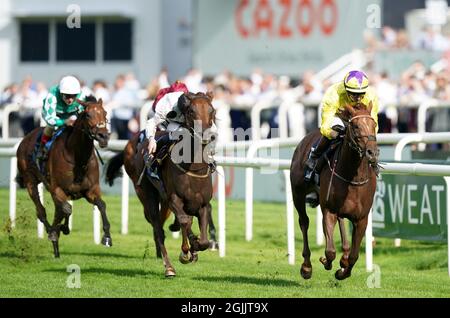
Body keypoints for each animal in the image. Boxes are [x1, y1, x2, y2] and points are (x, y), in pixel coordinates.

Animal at [16, 95, 110, 258]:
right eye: (88, 115)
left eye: (105, 113)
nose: (103, 136)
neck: (78, 157)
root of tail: (25, 138)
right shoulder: (58, 189)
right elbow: (66, 209)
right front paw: (59, 230)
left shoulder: (91, 190)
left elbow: (101, 205)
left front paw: (107, 237)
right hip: (30, 181)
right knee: (41, 211)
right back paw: (52, 232)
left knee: (57, 210)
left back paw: (56, 246)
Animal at [106, 90, 217, 278]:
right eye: (191, 111)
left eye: (212, 111)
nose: (207, 135)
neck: (192, 167)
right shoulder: (174, 199)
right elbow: (184, 221)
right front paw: (186, 252)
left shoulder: (202, 204)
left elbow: (202, 239)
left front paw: (195, 247)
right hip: (147, 195)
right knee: (158, 229)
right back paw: (169, 267)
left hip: (163, 201)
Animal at [290, 103, 378, 280]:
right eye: (355, 126)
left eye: (374, 125)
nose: (372, 152)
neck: (353, 177)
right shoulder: (328, 210)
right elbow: (330, 251)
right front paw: (326, 262)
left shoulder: (362, 218)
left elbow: (354, 256)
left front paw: (343, 270)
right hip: (297, 193)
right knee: (304, 222)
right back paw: (306, 266)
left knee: (342, 221)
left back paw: (343, 255)